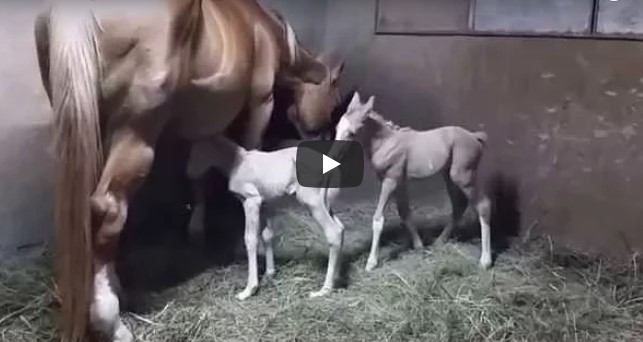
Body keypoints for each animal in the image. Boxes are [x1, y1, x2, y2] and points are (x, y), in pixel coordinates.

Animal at [187, 136, 344, 300]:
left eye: (200, 152)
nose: (189, 174)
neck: (238, 162)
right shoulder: (266, 203)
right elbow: (267, 235)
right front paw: (270, 273)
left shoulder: (251, 201)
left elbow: (251, 239)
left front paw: (249, 289)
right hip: (325, 202)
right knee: (340, 228)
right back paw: (337, 277)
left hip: (312, 201)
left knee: (333, 232)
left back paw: (324, 289)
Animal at [338, 92, 494, 272]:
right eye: (337, 127)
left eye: (351, 132)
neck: (386, 143)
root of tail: (475, 136)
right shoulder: (399, 183)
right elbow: (405, 213)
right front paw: (419, 245)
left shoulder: (390, 181)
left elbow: (378, 219)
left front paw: (371, 263)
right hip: (449, 177)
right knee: (458, 206)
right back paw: (439, 241)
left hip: (464, 176)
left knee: (483, 205)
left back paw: (485, 261)